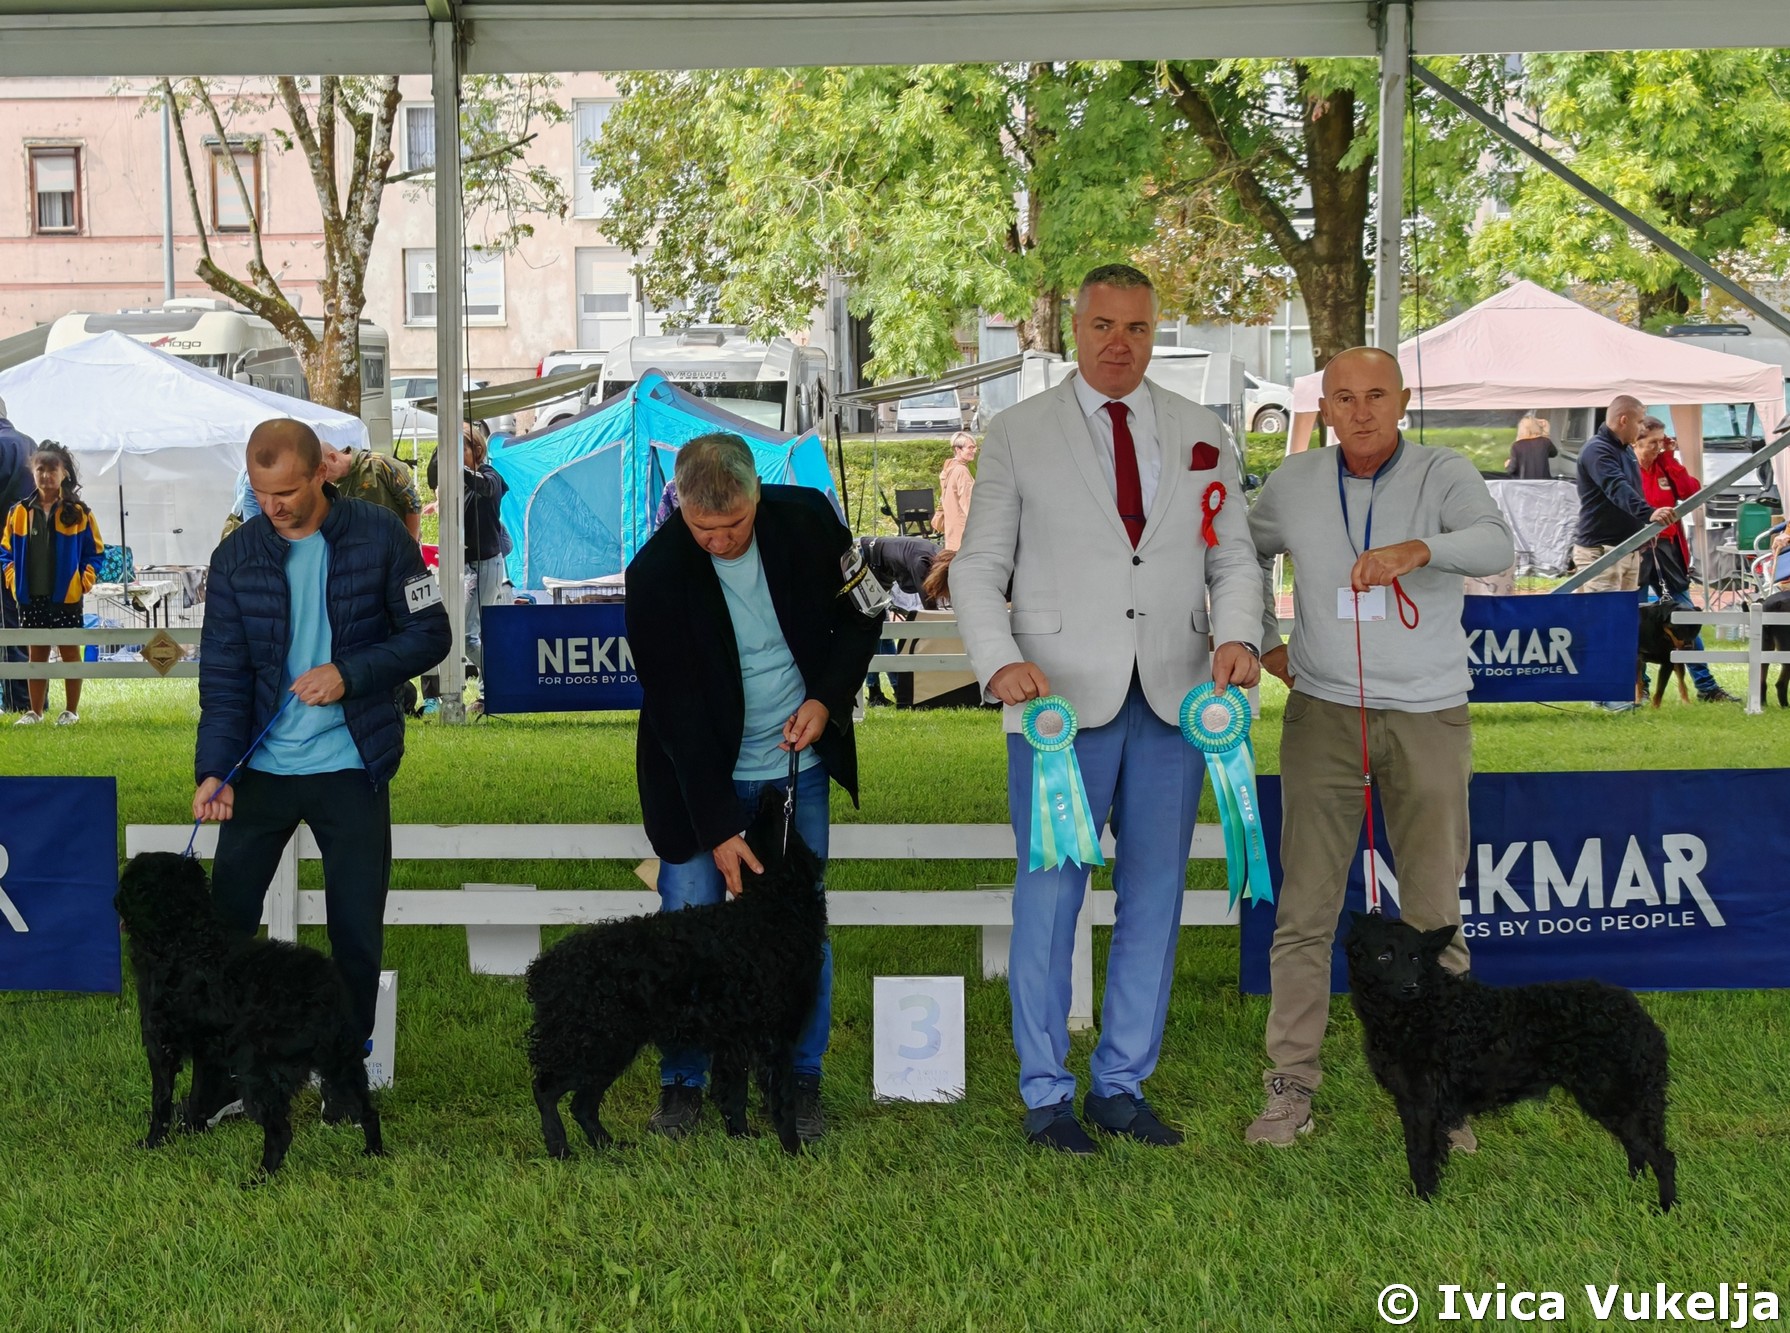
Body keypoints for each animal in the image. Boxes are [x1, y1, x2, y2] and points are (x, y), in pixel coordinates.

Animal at [114, 852, 384, 1180]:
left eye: (129, 882)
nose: (115, 900)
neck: (185, 937)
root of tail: (317, 983)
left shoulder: (160, 1044)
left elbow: (160, 1101)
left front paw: (152, 1142)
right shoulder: (207, 1050)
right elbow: (199, 1094)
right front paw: (193, 1130)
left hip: (259, 1071)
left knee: (281, 1131)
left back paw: (260, 1178)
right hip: (341, 1059)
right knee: (368, 1110)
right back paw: (374, 1153)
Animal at [527, 790, 826, 1158]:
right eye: (772, 822)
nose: (770, 792)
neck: (770, 912)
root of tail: (545, 967)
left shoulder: (734, 1040)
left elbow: (733, 1096)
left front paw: (741, 1138)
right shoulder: (775, 1037)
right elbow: (782, 1102)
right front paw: (793, 1150)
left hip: (611, 1047)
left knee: (581, 1104)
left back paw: (609, 1147)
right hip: (593, 1044)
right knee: (546, 1090)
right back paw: (560, 1148)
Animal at [1344, 912, 1675, 1211]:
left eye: (1415, 958)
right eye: (1384, 956)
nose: (1410, 986)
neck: (1422, 1012)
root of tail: (1638, 1014)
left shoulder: (1424, 1104)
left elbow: (1421, 1155)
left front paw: (1423, 1204)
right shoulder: (1411, 1102)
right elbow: (1419, 1153)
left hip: (1614, 1096)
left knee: (1662, 1157)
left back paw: (1665, 1208)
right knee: (1638, 1149)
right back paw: (1630, 1188)